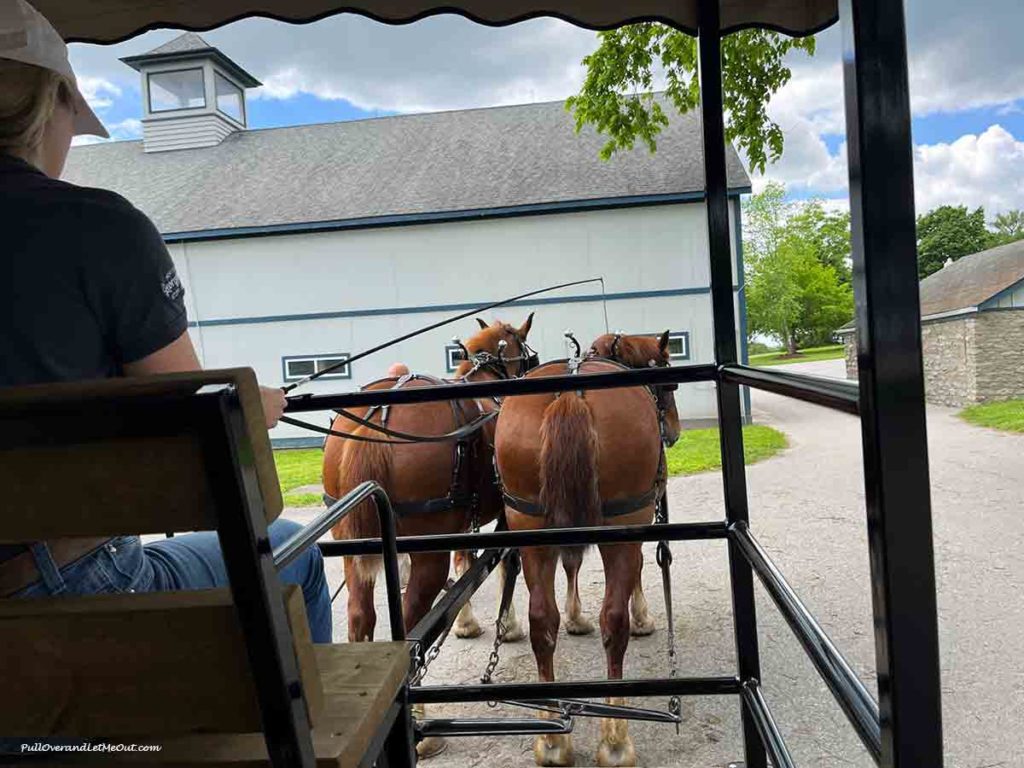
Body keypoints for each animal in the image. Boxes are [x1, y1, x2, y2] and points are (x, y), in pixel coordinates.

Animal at [325, 315, 536, 647]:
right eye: (526, 352)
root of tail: (380, 416)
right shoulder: (506, 512)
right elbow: (505, 562)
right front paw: (508, 625)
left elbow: (465, 563)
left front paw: (466, 623)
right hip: (428, 553)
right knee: (412, 614)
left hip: (351, 546)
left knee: (360, 615)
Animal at [493, 331, 679, 768]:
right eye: (667, 378)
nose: (676, 431)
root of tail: (570, 393)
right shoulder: (634, 523)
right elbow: (638, 568)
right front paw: (643, 617)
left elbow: (572, 564)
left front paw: (576, 618)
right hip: (623, 520)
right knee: (613, 621)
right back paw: (615, 738)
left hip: (527, 523)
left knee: (541, 620)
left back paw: (552, 738)